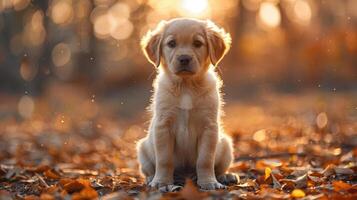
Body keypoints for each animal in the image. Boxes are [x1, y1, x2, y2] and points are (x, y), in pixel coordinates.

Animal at [136, 18, 236, 191]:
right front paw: (161, 182)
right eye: (171, 43)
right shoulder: (163, 126)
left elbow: (205, 160)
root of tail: (186, 176)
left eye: (197, 43)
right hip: (143, 149)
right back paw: (151, 179)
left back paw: (225, 176)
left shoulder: (209, 127)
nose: (184, 58)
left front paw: (209, 182)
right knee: (149, 169)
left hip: (226, 146)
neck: (186, 86)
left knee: (219, 167)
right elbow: (164, 160)